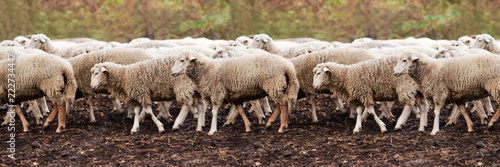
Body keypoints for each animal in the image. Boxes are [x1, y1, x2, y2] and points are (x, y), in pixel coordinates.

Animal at [170, 50, 298, 135]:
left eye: (182, 60)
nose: (171, 72)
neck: (206, 70)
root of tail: (288, 65)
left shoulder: (217, 94)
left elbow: (214, 112)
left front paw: (212, 130)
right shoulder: (235, 96)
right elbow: (240, 111)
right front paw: (248, 127)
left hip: (274, 84)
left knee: (283, 104)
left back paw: (282, 126)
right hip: (277, 87)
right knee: (281, 105)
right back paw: (270, 123)